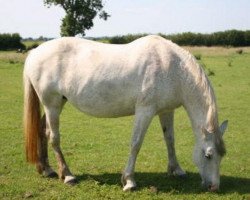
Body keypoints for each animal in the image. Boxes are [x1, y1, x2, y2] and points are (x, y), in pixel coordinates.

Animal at [23, 35, 229, 191]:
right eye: (208, 155)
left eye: (222, 155)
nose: (214, 187)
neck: (172, 67)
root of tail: (36, 52)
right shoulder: (145, 110)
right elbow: (136, 143)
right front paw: (129, 181)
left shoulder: (166, 111)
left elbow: (170, 140)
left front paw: (176, 170)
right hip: (52, 105)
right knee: (53, 137)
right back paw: (67, 175)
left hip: (57, 103)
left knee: (41, 130)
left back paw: (47, 169)